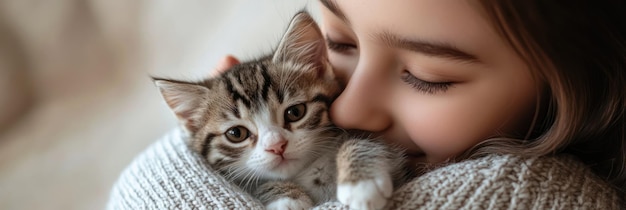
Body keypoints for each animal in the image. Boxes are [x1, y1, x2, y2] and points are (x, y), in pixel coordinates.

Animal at [152, 11, 404, 210]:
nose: (277, 146)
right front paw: (286, 197)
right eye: (236, 134)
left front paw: (361, 183)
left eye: (295, 112)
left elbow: (365, 141)